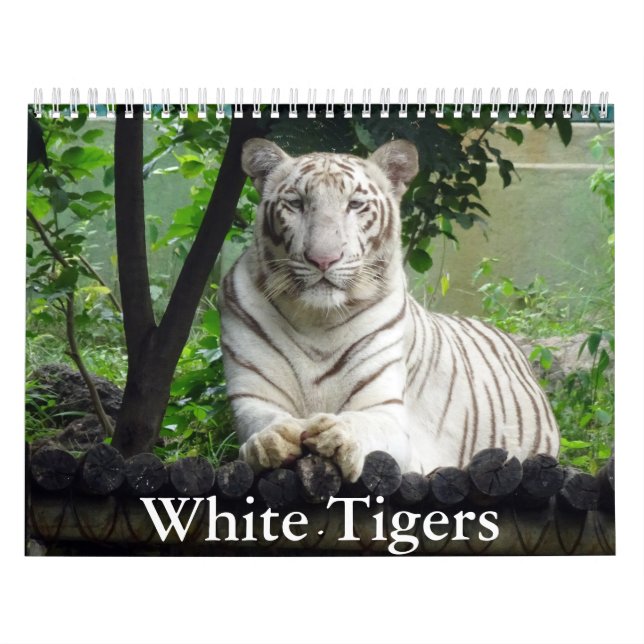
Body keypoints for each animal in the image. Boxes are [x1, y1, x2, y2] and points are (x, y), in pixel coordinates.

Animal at [217, 137, 560, 482]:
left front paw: (337, 434)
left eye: (355, 204)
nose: (323, 259)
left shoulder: (386, 411)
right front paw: (270, 440)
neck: (316, 320)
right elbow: (263, 423)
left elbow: (365, 424)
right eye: (296, 203)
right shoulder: (251, 398)